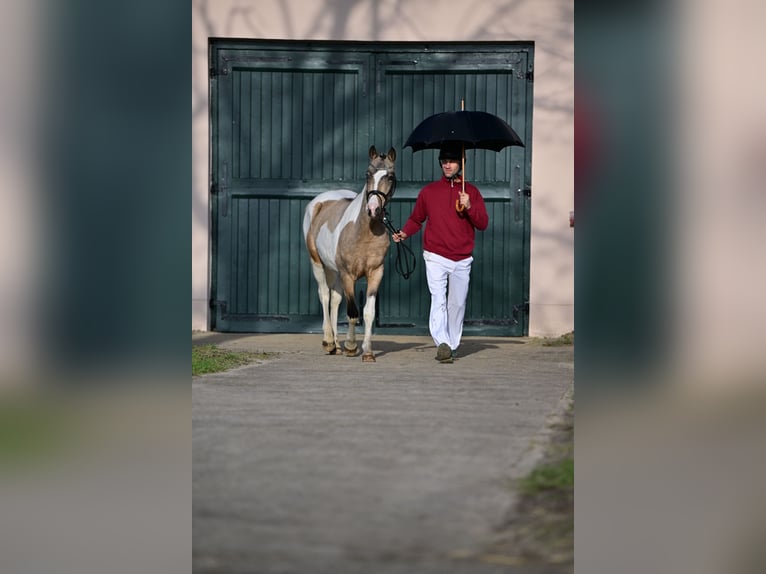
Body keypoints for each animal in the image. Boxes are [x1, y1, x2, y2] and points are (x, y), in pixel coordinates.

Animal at [304, 146, 400, 362]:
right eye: (367, 174)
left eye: (390, 176)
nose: (373, 209)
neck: (363, 232)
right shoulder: (348, 274)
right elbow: (353, 312)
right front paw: (350, 346)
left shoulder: (376, 273)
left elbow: (367, 313)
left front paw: (367, 351)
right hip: (318, 263)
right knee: (324, 295)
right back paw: (329, 342)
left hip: (335, 271)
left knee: (335, 299)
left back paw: (336, 345)